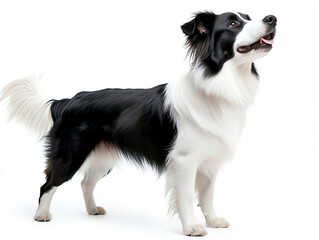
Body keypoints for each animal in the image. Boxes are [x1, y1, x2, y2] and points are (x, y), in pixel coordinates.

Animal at [0, 11, 278, 236]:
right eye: (233, 23)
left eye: (248, 16)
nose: (272, 18)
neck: (221, 81)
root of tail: (65, 101)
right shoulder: (184, 160)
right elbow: (188, 196)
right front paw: (192, 227)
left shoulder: (210, 160)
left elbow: (207, 194)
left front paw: (213, 220)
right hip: (71, 154)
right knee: (48, 183)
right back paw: (41, 215)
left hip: (103, 158)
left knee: (85, 182)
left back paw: (92, 209)